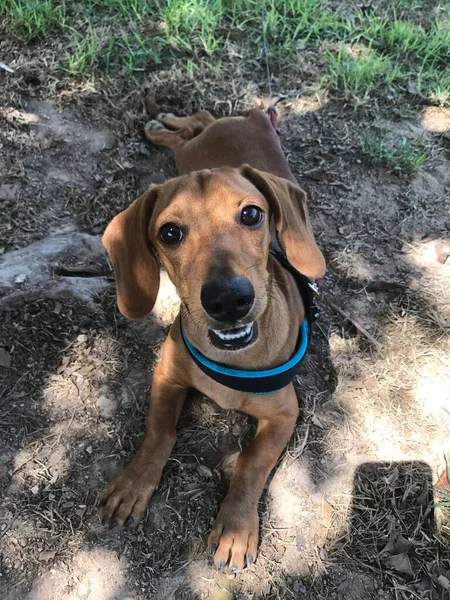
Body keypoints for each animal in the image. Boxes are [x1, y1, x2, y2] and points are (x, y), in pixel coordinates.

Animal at [100, 106, 326, 572]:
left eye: (252, 215)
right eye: (169, 233)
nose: (228, 300)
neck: (232, 361)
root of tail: (253, 116)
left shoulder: (285, 414)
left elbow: (251, 464)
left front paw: (236, 527)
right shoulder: (167, 375)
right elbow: (158, 432)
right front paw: (134, 483)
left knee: (199, 121)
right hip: (187, 153)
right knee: (193, 125)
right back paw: (163, 125)